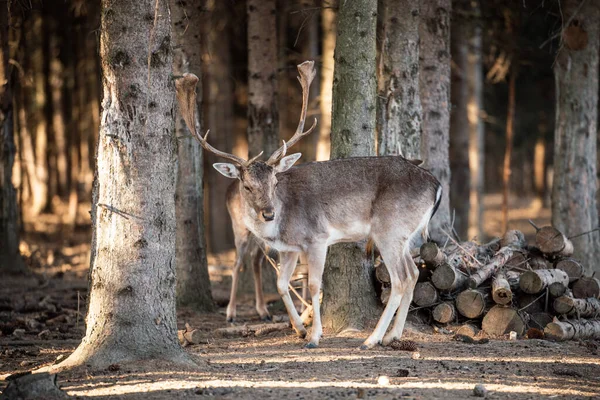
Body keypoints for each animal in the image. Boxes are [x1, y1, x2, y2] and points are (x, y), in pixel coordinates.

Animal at [173, 61, 440, 348]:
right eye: (247, 186)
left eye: (274, 181)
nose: (269, 214)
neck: (282, 226)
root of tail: (437, 185)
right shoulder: (291, 249)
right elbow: (281, 284)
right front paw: (300, 329)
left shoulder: (317, 238)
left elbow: (313, 285)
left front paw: (314, 337)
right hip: (404, 235)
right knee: (413, 274)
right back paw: (392, 335)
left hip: (389, 230)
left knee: (400, 279)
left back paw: (371, 339)